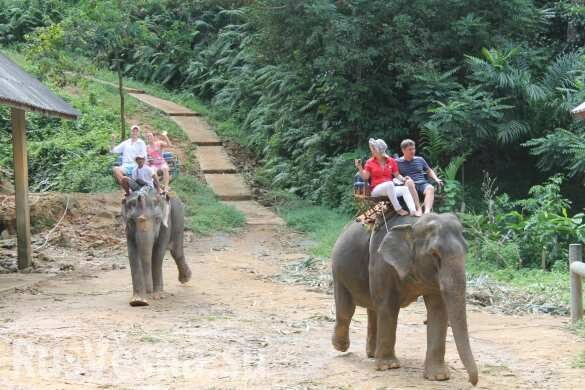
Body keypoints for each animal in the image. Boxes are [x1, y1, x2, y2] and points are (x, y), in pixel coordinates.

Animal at [330, 213, 476, 386]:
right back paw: (341, 347)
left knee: (372, 310)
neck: (413, 224)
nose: (472, 381)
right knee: (346, 310)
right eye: (434, 253)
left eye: (466, 250)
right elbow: (388, 306)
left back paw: (372, 354)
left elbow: (438, 310)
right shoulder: (382, 264)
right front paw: (389, 367)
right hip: (338, 270)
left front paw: (439, 377)